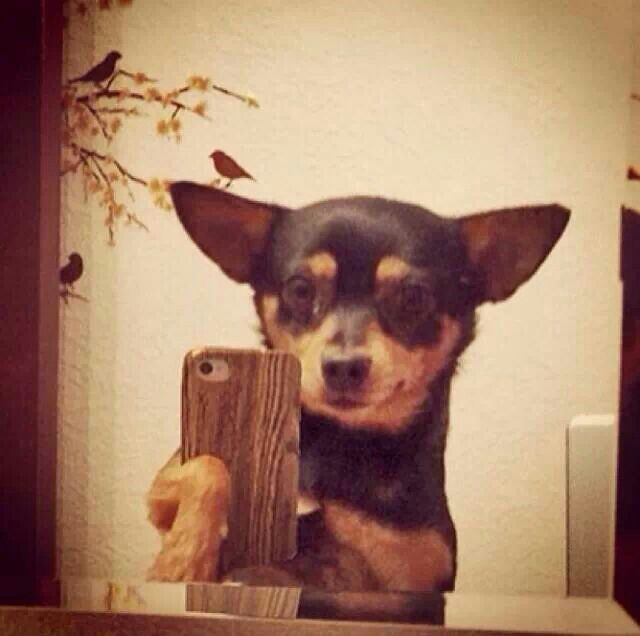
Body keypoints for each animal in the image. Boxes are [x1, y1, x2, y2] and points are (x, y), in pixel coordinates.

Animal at [146, 181, 568, 592]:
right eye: (300, 290)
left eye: (413, 297)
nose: (343, 366)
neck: (341, 443)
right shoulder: (162, 487)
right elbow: (208, 467)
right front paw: (181, 561)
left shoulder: (409, 572)